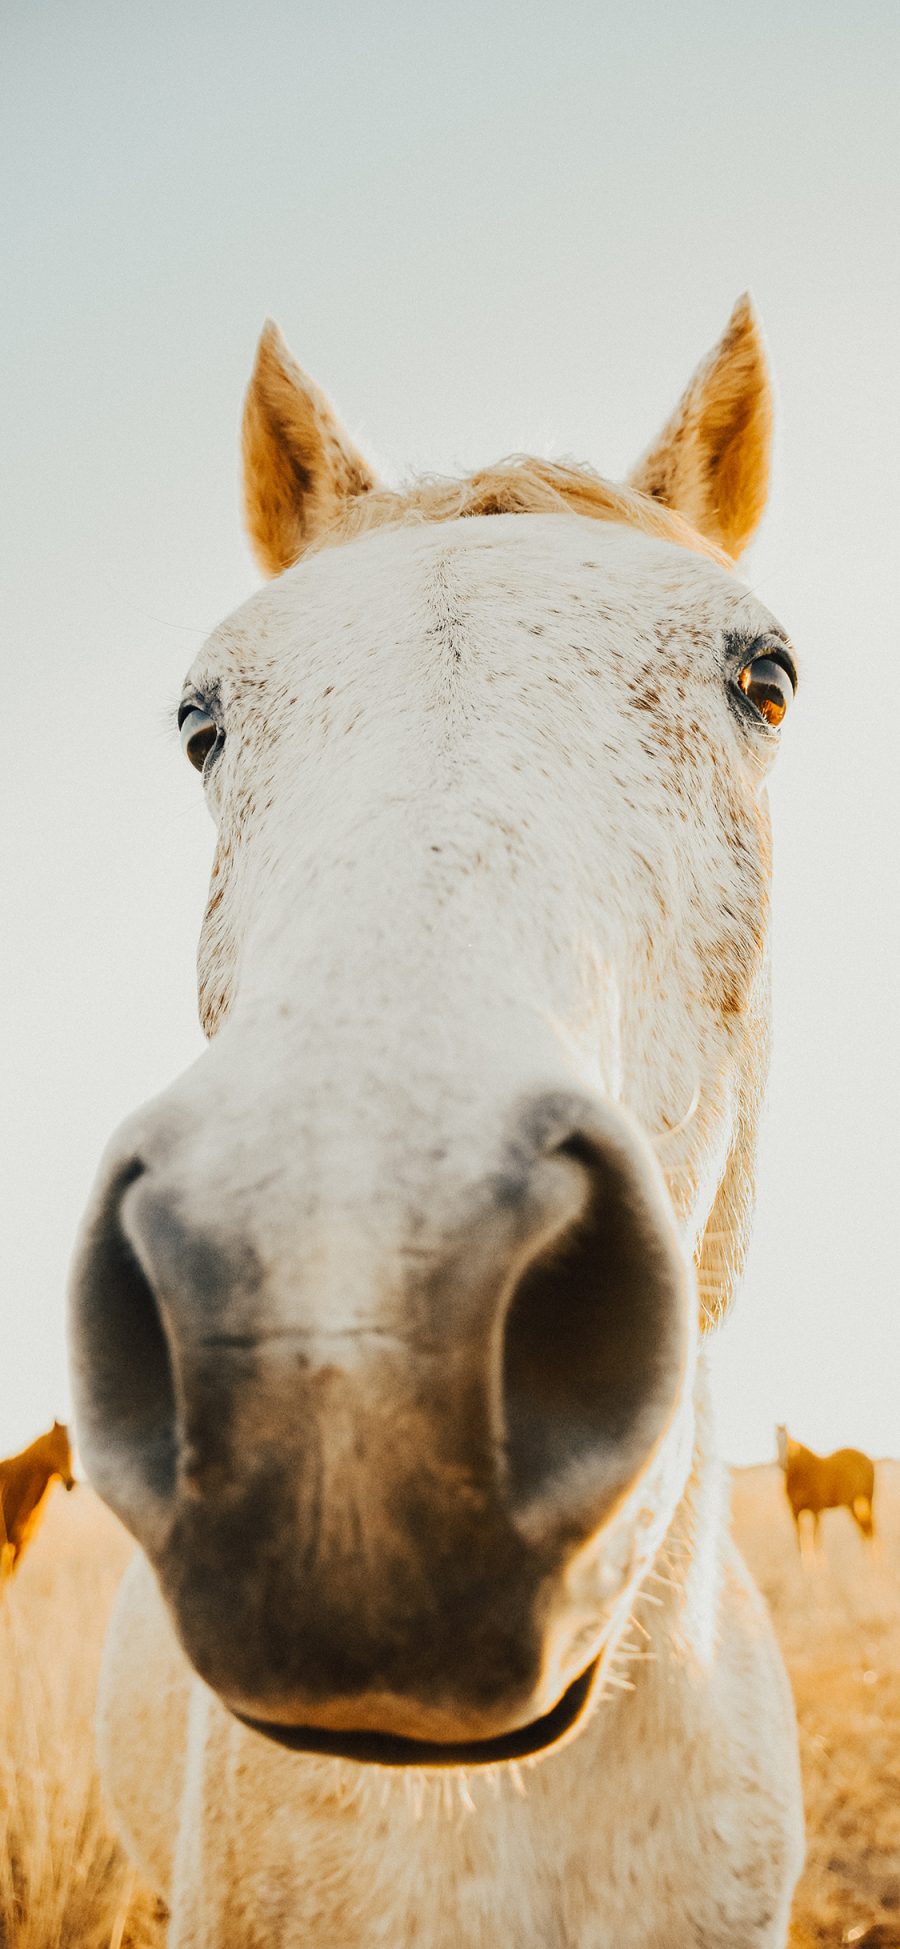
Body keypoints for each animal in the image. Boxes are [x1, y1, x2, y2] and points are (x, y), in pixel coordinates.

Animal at [775, 1418, 876, 1551]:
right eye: (776, 1441)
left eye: (788, 1442)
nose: (782, 1464)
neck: (802, 1476)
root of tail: (867, 1460)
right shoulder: (795, 1512)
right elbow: (800, 1542)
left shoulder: (815, 1511)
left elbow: (816, 1541)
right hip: (854, 1505)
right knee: (865, 1529)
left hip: (866, 1501)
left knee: (870, 1529)